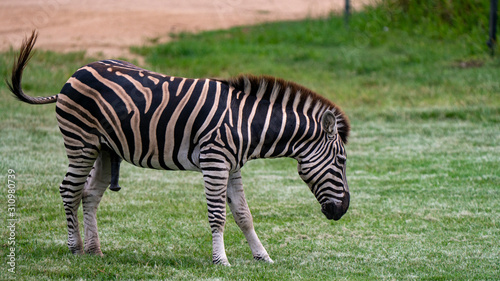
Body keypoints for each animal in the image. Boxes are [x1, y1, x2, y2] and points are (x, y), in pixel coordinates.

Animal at [8, 31, 352, 264]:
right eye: (342, 161)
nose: (343, 210)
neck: (246, 123)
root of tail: (73, 75)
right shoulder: (215, 160)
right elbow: (218, 215)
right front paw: (221, 260)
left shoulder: (233, 166)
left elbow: (244, 214)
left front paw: (262, 256)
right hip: (81, 143)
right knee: (69, 190)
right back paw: (76, 248)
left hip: (105, 149)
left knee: (89, 194)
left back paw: (95, 250)